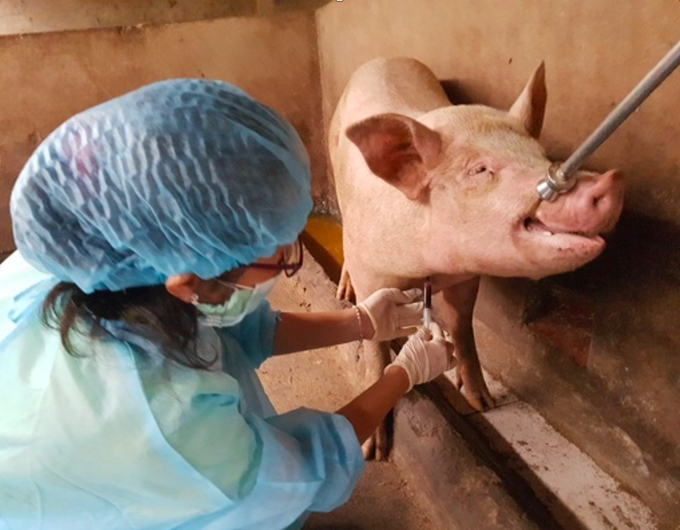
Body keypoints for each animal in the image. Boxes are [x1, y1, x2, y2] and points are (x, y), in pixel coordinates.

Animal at [328, 57, 620, 460]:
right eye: (479, 170)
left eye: (542, 156)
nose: (609, 181)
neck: (430, 269)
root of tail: (382, 59)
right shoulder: (372, 270)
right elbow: (374, 348)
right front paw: (374, 451)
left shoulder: (465, 277)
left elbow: (463, 325)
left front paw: (484, 402)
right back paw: (343, 292)